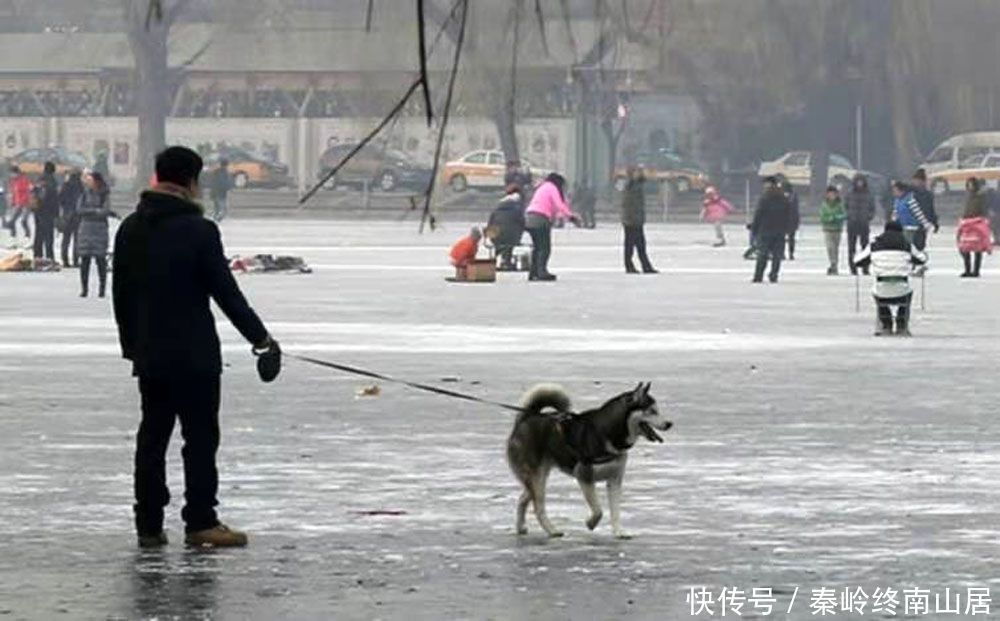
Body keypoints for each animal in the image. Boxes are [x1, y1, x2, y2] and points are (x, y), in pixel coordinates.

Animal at [508, 380, 672, 536]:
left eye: (658, 409)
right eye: (651, 411)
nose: (669, 423)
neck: (608, 432)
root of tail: (525, 418)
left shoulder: (615, 480)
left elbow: (615, 511)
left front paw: (619, 532)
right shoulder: (584, 476)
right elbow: (598, 509)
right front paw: (591, 523)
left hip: (536, 478)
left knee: (522, 499)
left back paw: (520, 527)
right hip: (537, 478)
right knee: (538, 507)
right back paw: (552, 530)